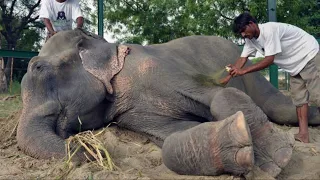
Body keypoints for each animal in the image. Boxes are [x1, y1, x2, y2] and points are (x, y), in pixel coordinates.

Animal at [16, 28, 320, 178]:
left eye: (39, 68)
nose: (89, 152)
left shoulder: (159, 68)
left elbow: (216, 94)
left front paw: (277, 161)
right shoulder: (131, 113)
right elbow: (173, 135)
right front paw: (239, 146)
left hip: (252, 75)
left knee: (280, 108)